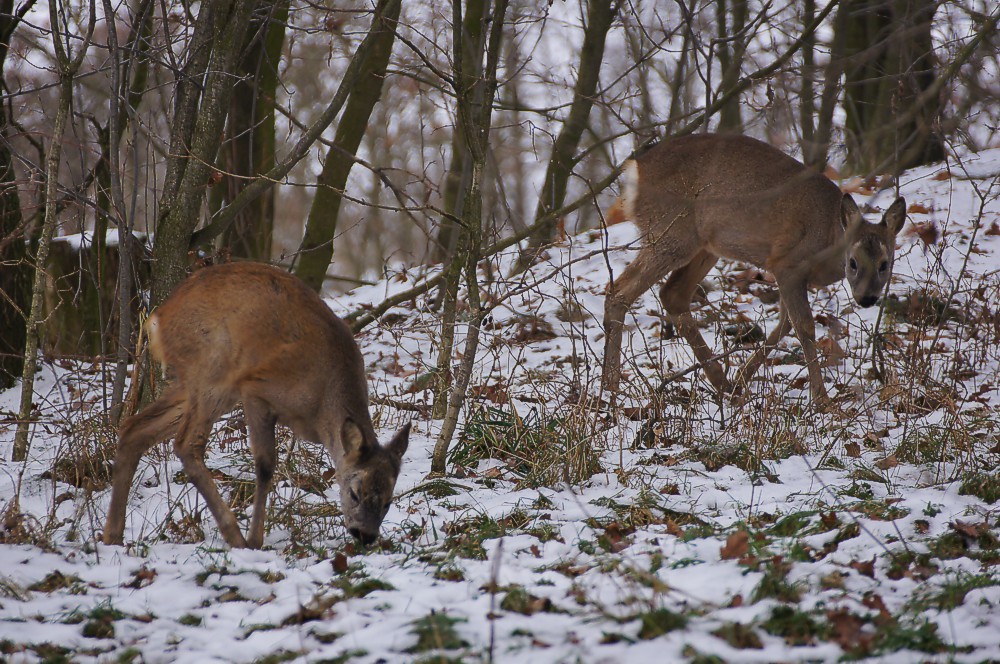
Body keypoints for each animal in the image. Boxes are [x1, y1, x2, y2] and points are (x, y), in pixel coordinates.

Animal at [102, 262, 410, 548]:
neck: (320, 405)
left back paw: (112, 536)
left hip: (202, 386)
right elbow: (265, 465)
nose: (365, 535)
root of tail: (157, 319)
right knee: (186, 444)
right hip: (213, 367)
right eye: (354, 493)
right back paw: (234, 536)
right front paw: (255, 540)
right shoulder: (257, 389)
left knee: (134, 428)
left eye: (388, 502)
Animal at [596, 134, 912, 402]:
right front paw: (822, 400)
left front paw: (741, 378)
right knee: (618, 291)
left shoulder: (793, 275)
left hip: (705, 245)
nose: (867, 298)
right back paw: (611, 387)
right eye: (853, 262)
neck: (829, 237)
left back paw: (722, 383)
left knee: (672, 294)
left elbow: (784, 325)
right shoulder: (787, 264)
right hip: (670, 233)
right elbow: (804, 326)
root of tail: (634, 169)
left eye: (885, 264)